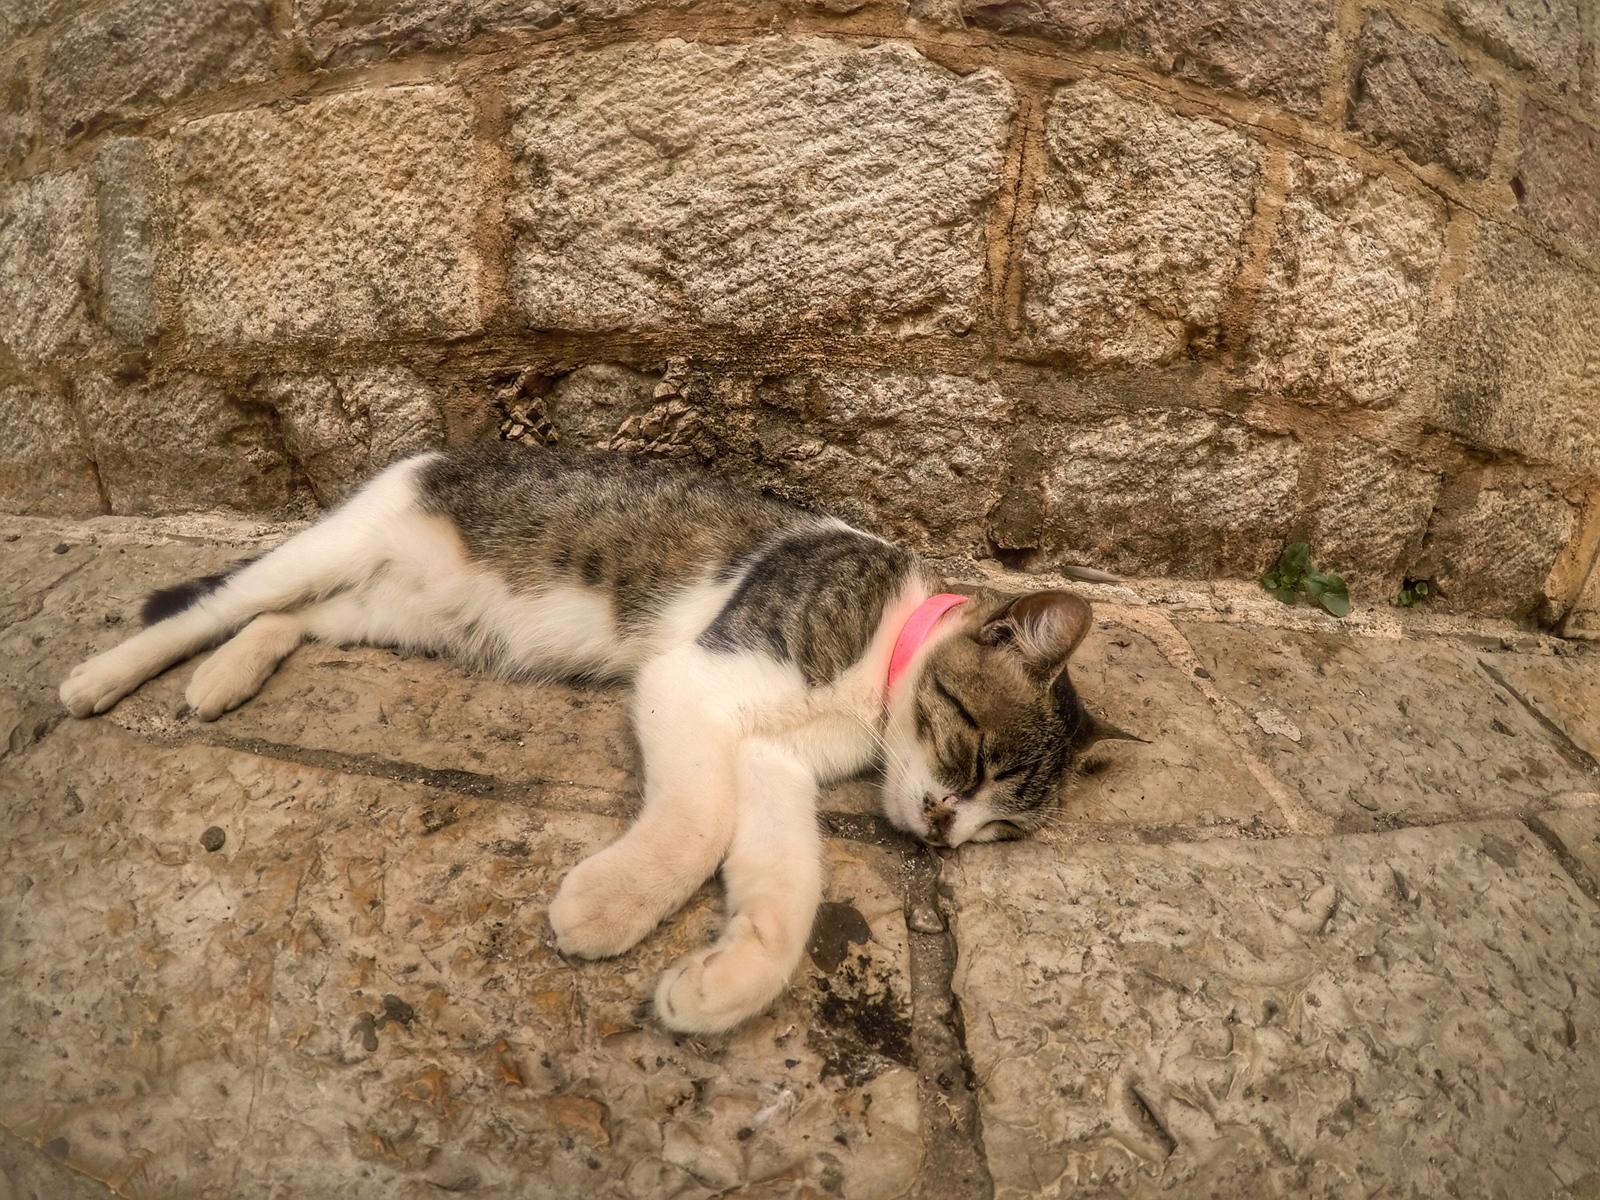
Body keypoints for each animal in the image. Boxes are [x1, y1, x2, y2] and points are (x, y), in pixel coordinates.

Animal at [53, 441, 1126, 1036]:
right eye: (973, 755)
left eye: (1002, 828)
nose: (944, 829)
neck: (881, 669)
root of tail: (440, 453)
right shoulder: (694, 684)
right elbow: (697, 823)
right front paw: (611, 905)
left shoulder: (773, 761)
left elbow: (786, 881)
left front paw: (725, 982)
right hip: (338, 545)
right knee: (221, 603)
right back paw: (106, 677)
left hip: (397, 614)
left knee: (298, 620)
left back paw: (227, 677)